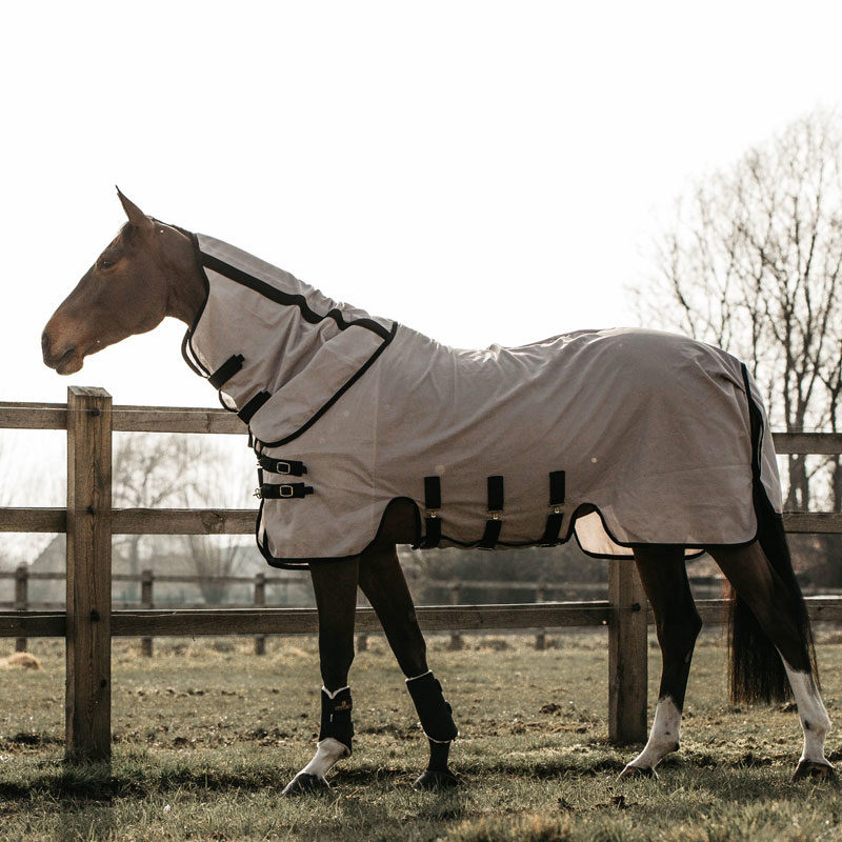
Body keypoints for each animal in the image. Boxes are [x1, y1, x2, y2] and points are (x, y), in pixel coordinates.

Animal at [42, 189, 832, 788]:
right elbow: (407, 643)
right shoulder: (371, 546)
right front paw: (439, 762)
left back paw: (811, 755)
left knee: (779, 617)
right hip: (653, 533)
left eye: (110, 261)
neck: (305, 364)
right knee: (682, 625)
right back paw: (650, 756)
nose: (51, 343)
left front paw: (320, 766)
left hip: (708, 524)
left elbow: (337, 648)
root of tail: (727, 362)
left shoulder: (333, 545)